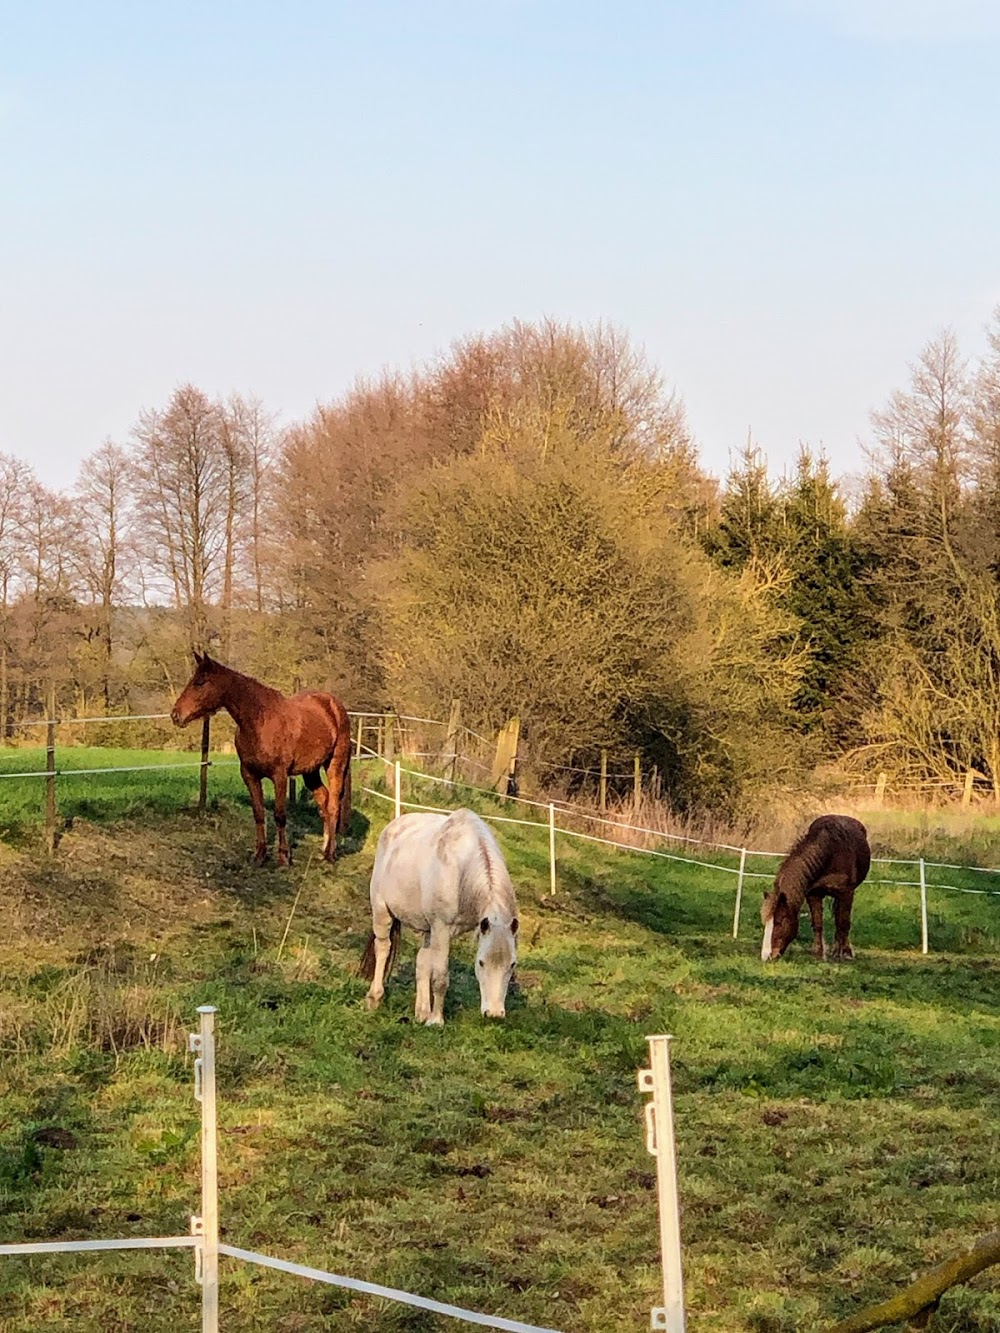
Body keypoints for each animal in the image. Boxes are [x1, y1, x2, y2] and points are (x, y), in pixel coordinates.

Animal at [172, 653, 357, 863]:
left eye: (200, 682)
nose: (175, 715)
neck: (259, 721)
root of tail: (335, 706)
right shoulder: (250, 775)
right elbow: (259, 813)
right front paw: (259, 854)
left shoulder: (280, 776)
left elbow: (280, 815)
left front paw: (283, 856)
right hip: (311, 771)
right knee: (324, 801)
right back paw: (324, 848)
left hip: (335, 765)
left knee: (333, 805)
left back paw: (330, 854)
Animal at [360, 805, 520, 1023]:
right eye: (481, 962)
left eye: (512, 964)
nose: (494, 1014)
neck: (462, 868)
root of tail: (392, 827)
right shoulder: (442, 928)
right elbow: (440, 978)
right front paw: (436, 1020)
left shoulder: (437, 929)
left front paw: (428, 1016)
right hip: (382, 910)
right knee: (383, 948)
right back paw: (375, 998)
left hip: (429, 930)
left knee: (422, 961)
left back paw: (422, 1012)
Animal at [762, 815, 874, 965]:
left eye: (779, 922)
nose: (766, 955)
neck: (830, 852)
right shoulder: (813, 894)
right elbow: (817, 924)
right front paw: (819, 953)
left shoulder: (846, 893)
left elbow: (844, 923)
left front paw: (845, 954)